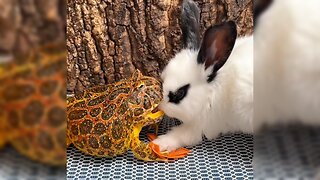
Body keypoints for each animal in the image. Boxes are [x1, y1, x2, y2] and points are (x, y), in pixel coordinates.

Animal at [152, 0, 252, 152]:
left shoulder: (203, 124)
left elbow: (182, 134)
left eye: (179, 93)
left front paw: (159, 144)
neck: (212, 90)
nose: (160, 107)